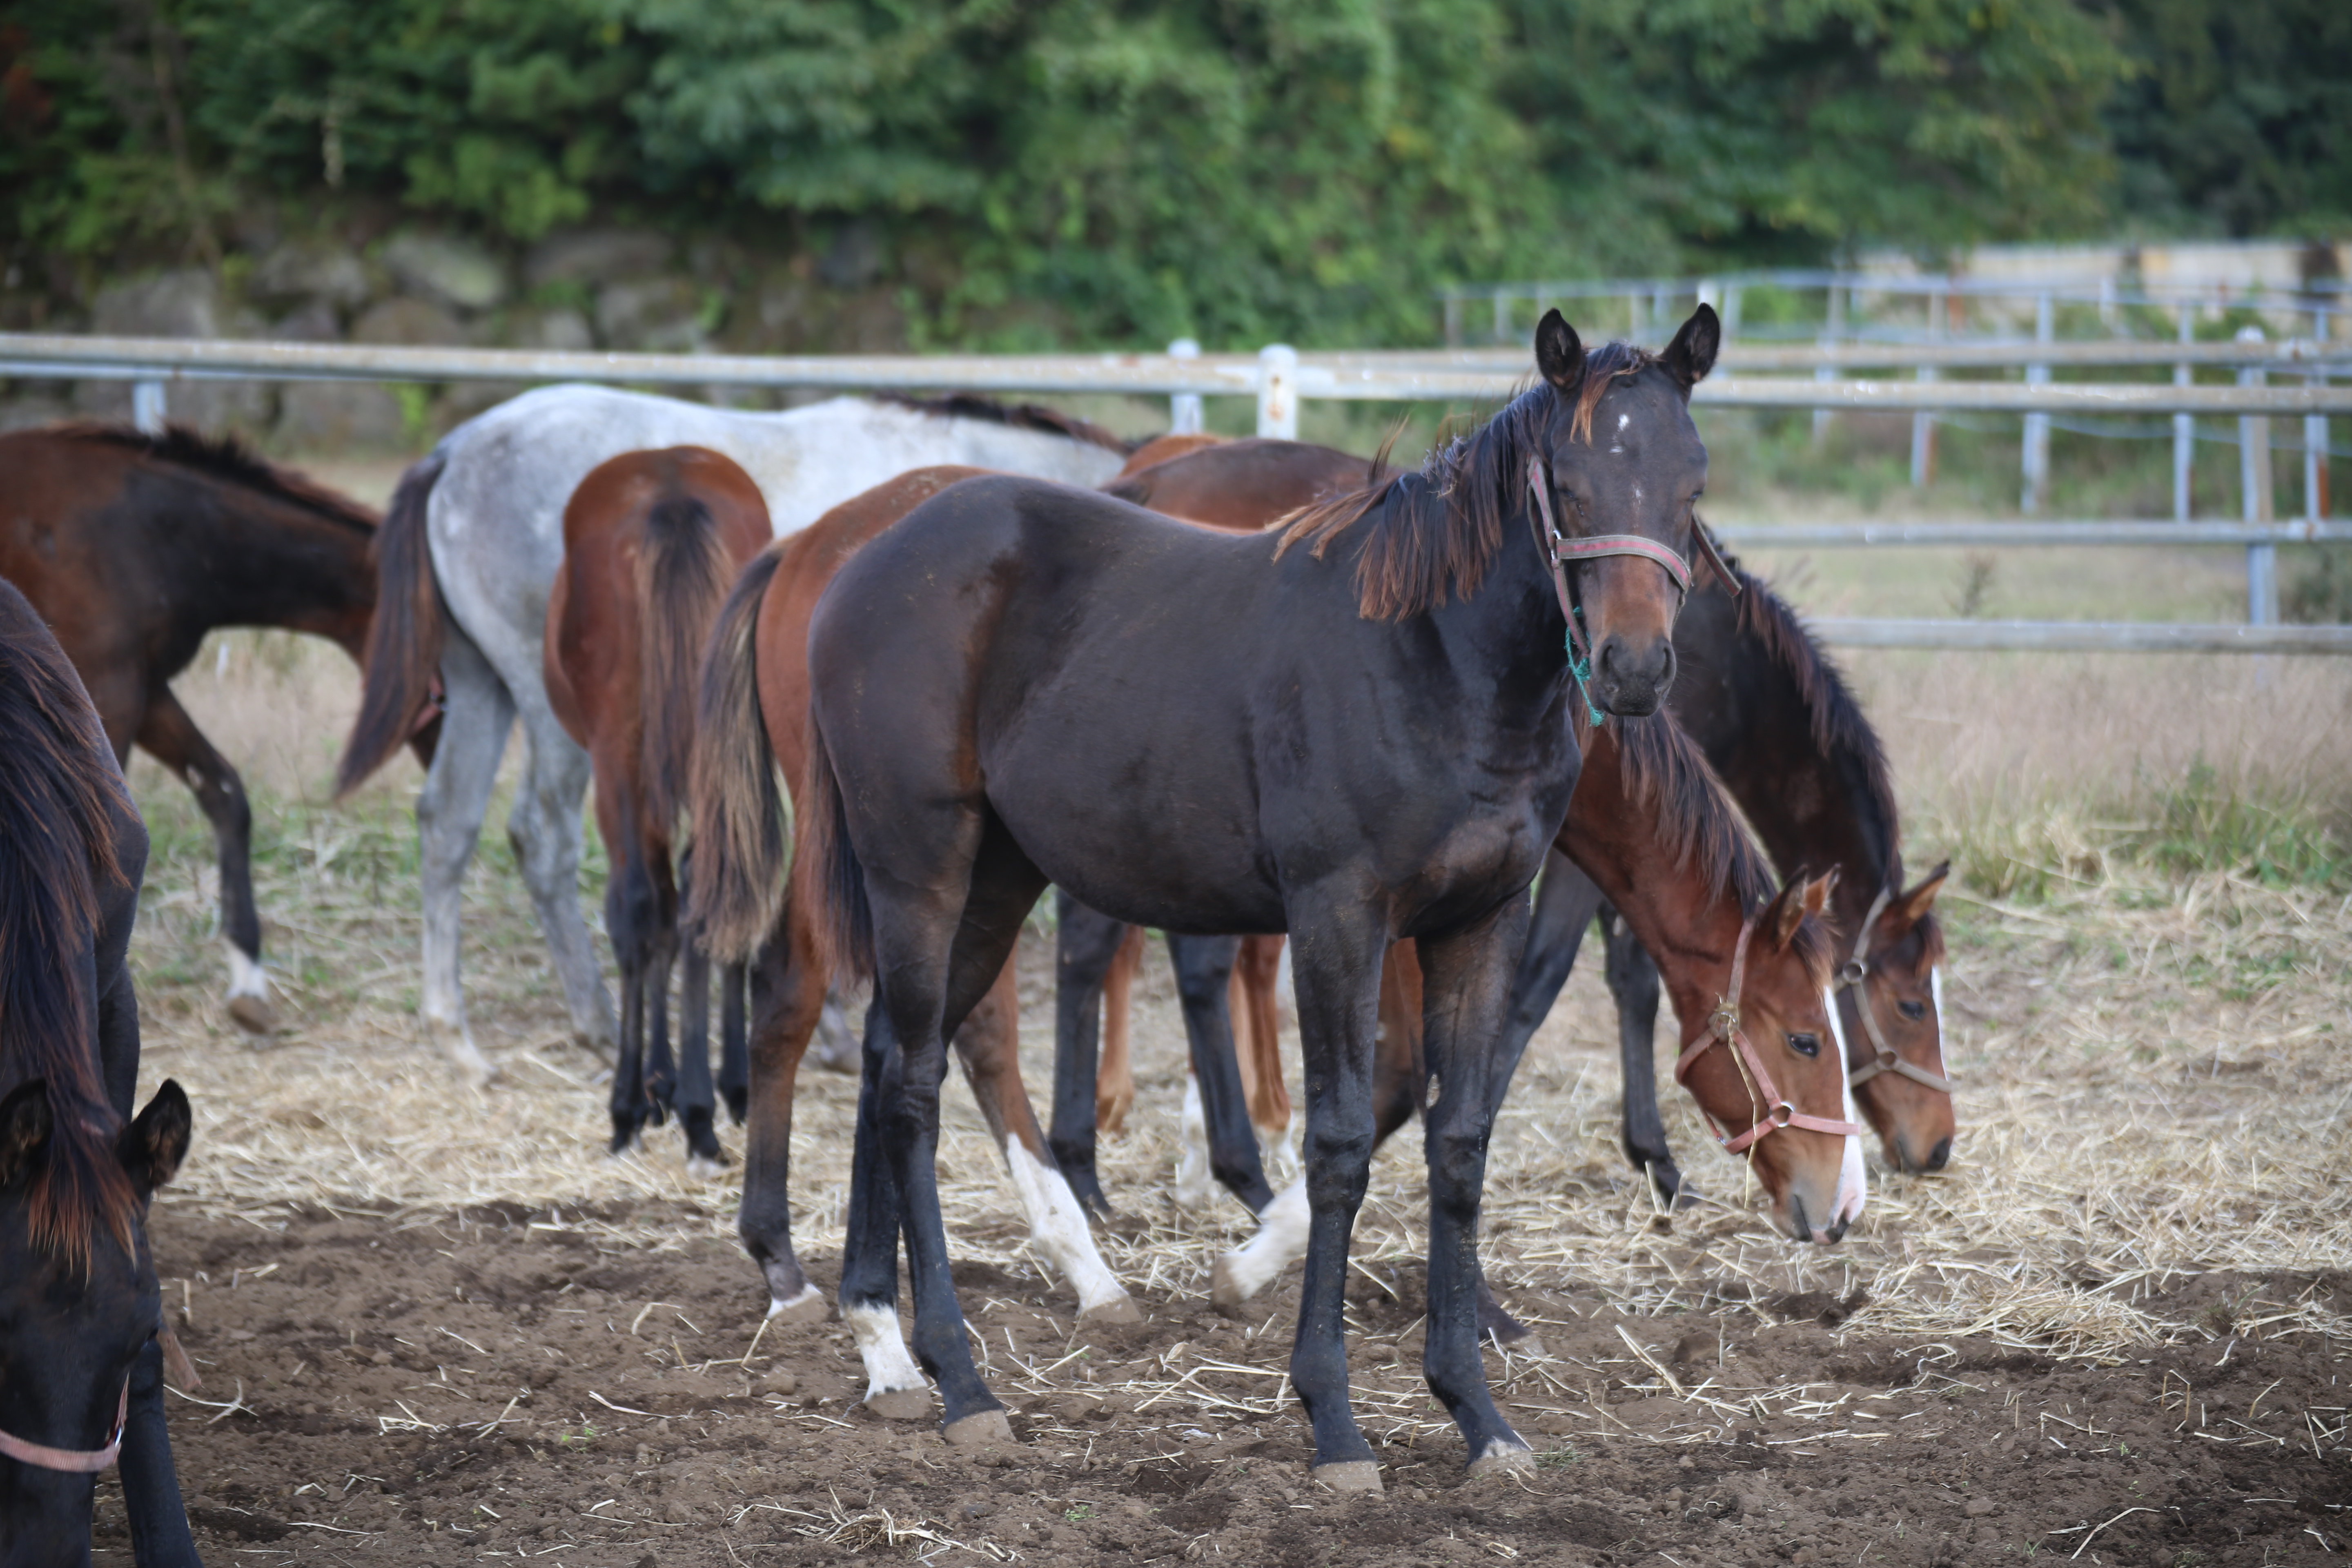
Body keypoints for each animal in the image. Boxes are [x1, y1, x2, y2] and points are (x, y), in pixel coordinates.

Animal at [336, 385, 1134, 1086]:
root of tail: (455, 451)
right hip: (548, 707)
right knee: (542, 836)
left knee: (449, 823)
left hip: (482, 685)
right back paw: (597, 1021)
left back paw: (458, 1036)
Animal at [543, 446, 766, 1171]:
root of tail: (671, 488)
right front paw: (696, 1085)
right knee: (708, 888)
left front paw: (650, 1094)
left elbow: (648, 918)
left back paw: (650, 1110)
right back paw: (702, 1106)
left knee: (641, 905)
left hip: (620, 756)